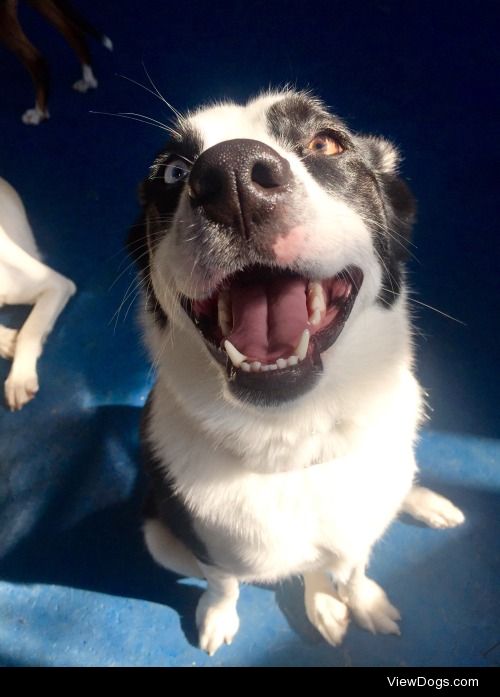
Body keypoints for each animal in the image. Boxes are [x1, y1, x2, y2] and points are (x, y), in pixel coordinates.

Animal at [129, 91, 464, 652]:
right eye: (173, 172)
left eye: (325, 143)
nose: (231, 175)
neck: (295, 438)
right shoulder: (198, 542)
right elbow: (224, 583)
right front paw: (220, 615)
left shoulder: (356, 529)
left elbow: (354, 567)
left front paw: (363, 598)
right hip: (156, 534)